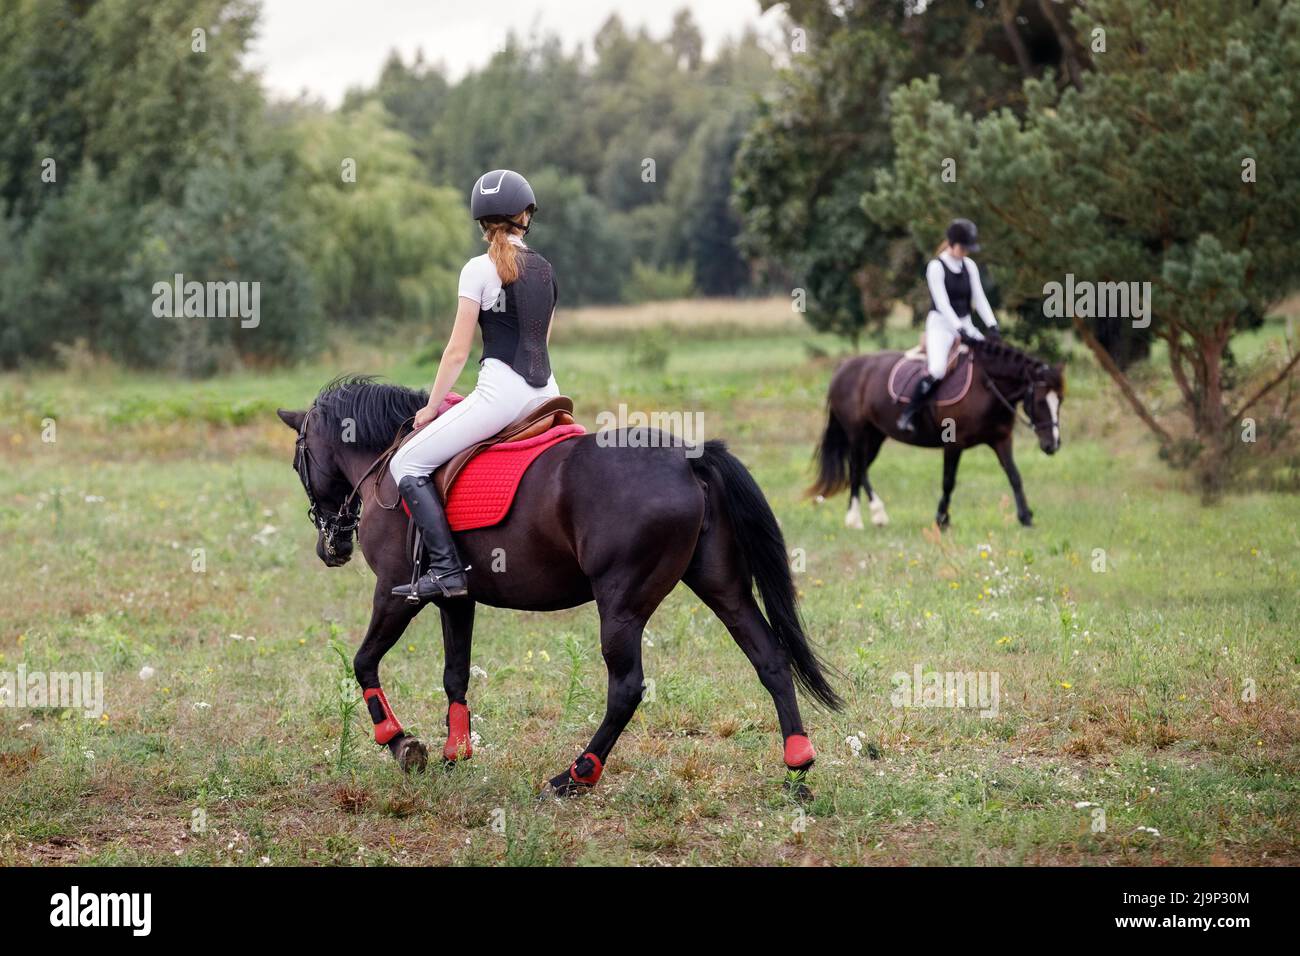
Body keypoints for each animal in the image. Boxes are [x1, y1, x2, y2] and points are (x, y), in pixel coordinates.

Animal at [276, 377, 842, 796]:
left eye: (298, 462)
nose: (331, 548)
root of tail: (689, 457)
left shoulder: (395, 592)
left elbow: (363, 662)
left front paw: (399, 742)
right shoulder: (456, 598)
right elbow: (455, 674)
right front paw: (455, 754)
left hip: (621, 605)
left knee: (626, 688)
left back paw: (575, 774)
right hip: (721, 586)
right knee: (770, 658)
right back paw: (797, 765)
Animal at [811, 338, 1066, 530]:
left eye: (1060, 400)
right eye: (1040, 401)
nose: (1052, 445)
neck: (987, 386)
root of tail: (844, 367)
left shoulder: (1001, 440)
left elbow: (1014, 476)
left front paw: (1026, 517)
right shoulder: (954, 443)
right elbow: (948, 481)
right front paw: (942, 519)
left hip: (875, 436)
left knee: (860, 468)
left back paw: (872, 515)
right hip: (857, 434)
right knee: (856, 468)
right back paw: (858, 518)